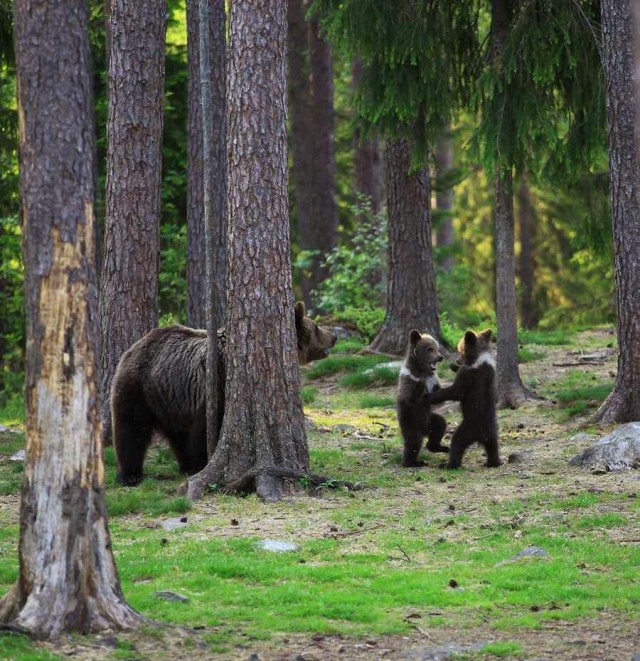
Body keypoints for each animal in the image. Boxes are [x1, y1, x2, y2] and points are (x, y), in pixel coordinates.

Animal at [112, 302, 338, 482]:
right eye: (317, 327)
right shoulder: (216, 386)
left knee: (177, 434)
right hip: (139, 388)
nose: (334, 336)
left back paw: (184, 465)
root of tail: (136, 345)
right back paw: (130, 474)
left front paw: (197, 464)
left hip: (169, 399)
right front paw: (203, 462)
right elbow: (205, 430)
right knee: (131, 428)